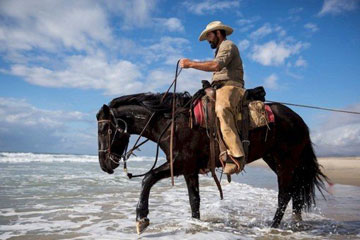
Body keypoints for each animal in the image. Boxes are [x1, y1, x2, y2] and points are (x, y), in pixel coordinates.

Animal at [96, 91, 330, 234]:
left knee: (284, 195)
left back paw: (273, 227)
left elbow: (148, 179)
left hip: (285, 163)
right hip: (276, 160)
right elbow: (194, 200)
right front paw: (196, 224)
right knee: (296, 192)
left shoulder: (179, 163)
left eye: (105, 129)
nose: (104, 164)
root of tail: (299, 120)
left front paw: (141, 219)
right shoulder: (189, 169)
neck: (172, 123)